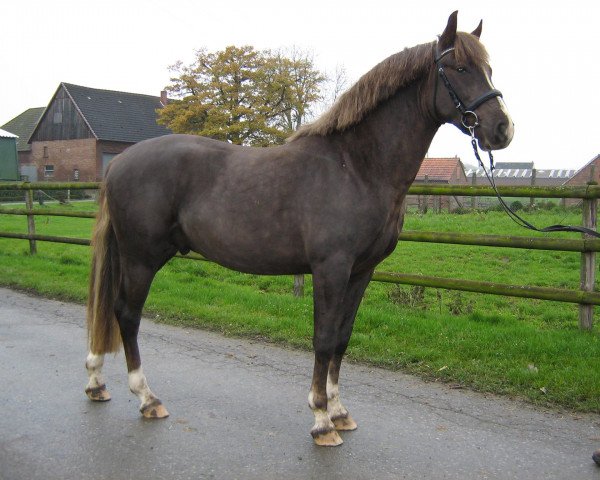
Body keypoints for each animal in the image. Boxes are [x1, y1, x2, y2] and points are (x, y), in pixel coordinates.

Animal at [85, 11, 516, 446]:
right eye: (459, 68)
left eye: (489, 69)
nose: (502, 129)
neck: (357, 167)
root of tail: (118, 163)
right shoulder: (331, 268)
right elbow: (323, 340)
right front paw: (322, 420)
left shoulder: (362, 271)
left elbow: (342, 338)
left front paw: (340, 411)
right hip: (142, 257)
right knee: (127, 315)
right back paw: (147, 399)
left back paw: (97, 384)